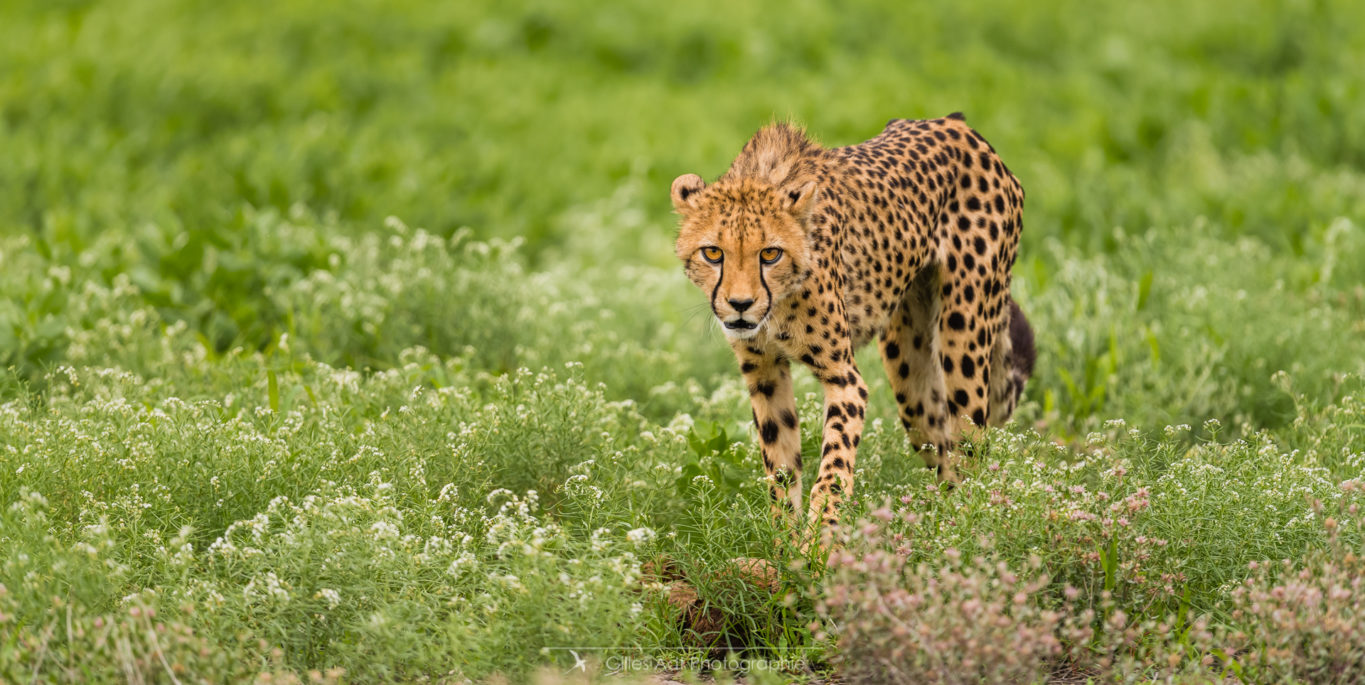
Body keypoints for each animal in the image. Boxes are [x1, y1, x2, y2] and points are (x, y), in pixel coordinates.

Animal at [671, 112, 1031, 532]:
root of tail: (954, 122)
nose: (740, 305)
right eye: (713, 253)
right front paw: (784, 539)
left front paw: (821, 535)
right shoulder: (764, 374)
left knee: (971, 448)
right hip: (911, 380)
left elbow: (834, 463)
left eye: (770, 254)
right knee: (939, 445)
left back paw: (965, 526)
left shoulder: (844, 378)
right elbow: (780, 466)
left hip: (964, 341)